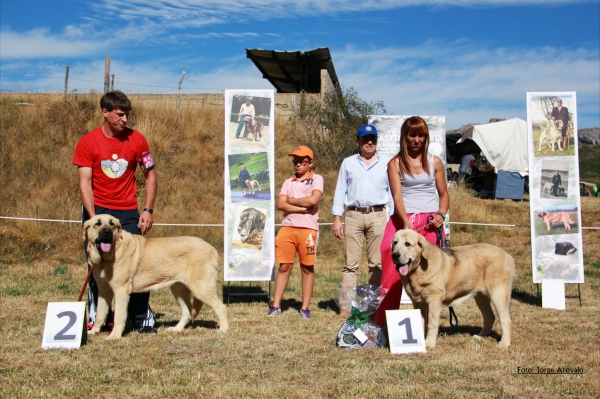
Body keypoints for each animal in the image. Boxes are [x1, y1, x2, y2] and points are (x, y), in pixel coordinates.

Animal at [82, 216, 227, 340]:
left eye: (112, 224)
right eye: (97, 224)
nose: (107, 232)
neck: (109, 256)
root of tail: (212, 248)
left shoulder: (121, 291)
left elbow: (118, 316)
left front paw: (114, 336)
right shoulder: (103, 291)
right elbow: (100, 314)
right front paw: (93, 331)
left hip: (200, 288)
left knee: (221, 307)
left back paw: (223, 330)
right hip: (179, 290)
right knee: (186, 312)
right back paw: (176, 329)